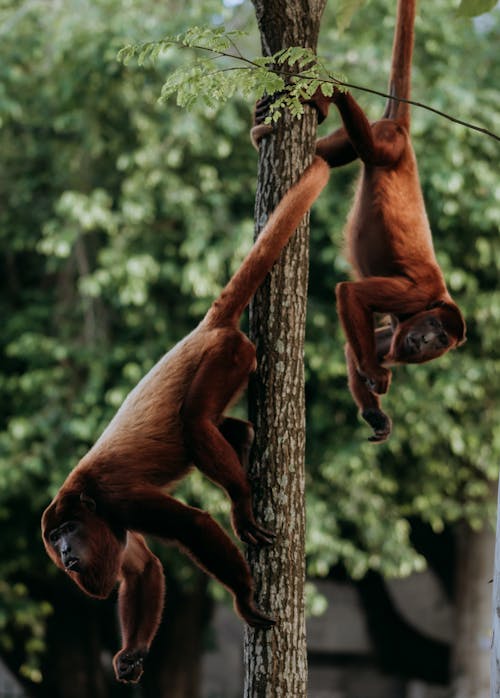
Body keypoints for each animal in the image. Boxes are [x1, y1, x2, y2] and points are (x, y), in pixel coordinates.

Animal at [43, 154, 330, 680]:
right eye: (54, 538)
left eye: (68, 530)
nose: (66, 552)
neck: (86, 496)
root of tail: (203, 330)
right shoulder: (113, 525)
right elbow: (142, 567)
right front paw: (132, 653)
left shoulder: (116, 499)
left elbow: (193, 526)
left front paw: (244, 598)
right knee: (218, 425)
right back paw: (240, 444)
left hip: (229, 355)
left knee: (195, 420)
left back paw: (240, 499)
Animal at [256, 0, 466, 440]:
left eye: (441, 342)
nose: (426, 343)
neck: (436, 301)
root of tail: (403, 129)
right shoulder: (417, 294)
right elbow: (351, 294)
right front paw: (373, 370)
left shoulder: (401, 328)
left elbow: (359, 346)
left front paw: (374, 411)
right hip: (390, 143)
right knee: (369, 148)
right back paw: (333, 94)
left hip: (378, 139)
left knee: (336, 153)